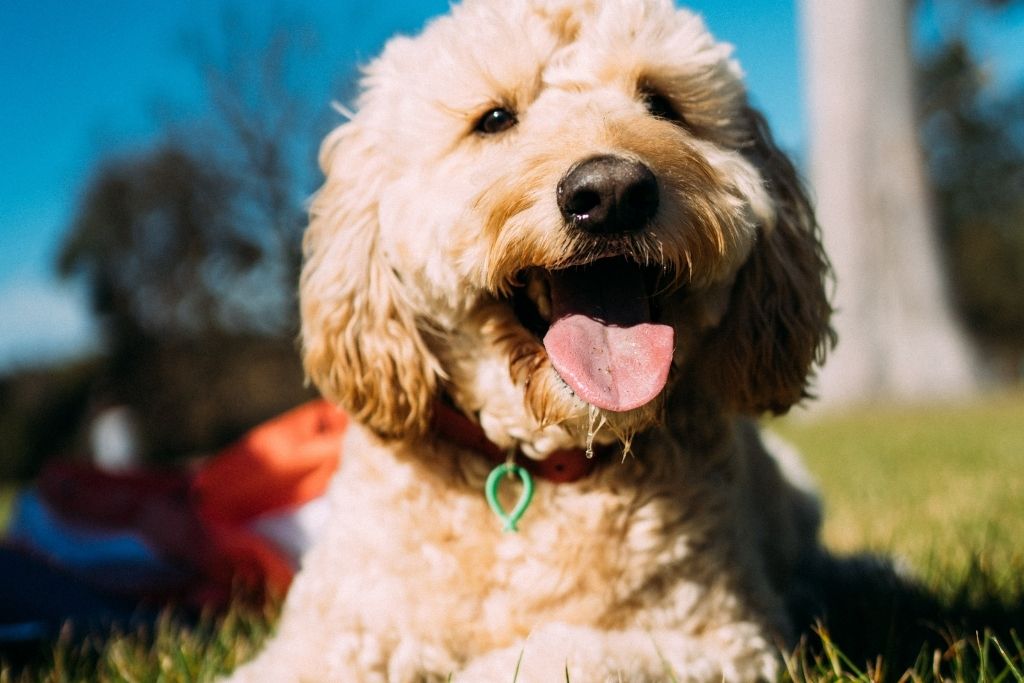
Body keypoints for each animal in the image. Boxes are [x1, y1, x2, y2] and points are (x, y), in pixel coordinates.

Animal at [224, 0, 831, 679]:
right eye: (493, 120)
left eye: (660, 102)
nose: (612, 193)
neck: (538, 466)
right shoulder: (331, 633)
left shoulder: (716, 638)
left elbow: (547, 654)